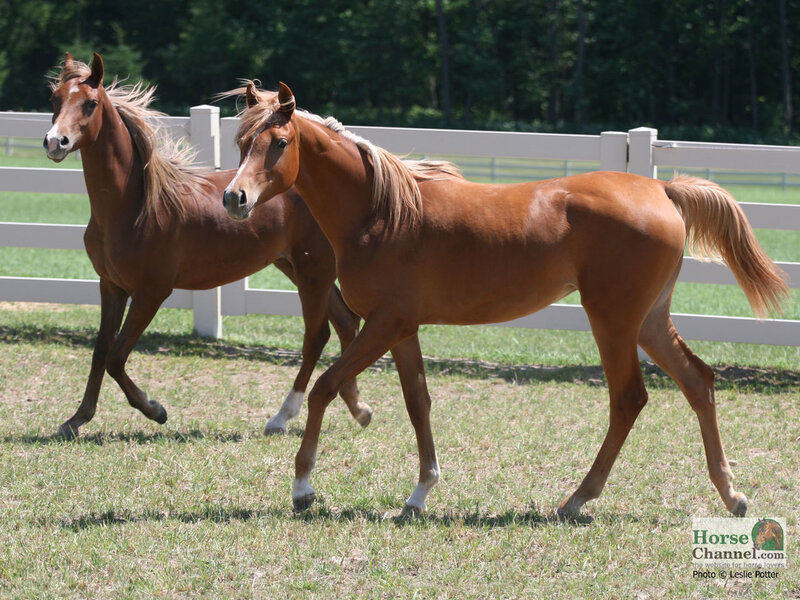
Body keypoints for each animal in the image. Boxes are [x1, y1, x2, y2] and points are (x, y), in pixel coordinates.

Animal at [43, 54, 373, 439]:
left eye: (90, 103)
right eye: (55, 99)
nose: (55, 142)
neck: (135, 206)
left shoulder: (151, 292)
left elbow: (116, 356)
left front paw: (155, 410)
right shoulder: (110, 286)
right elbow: (100, 351)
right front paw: (76, 419)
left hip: (313, 272)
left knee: (318, 335)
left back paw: (283, 417)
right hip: (296, 267)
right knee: (345, 324)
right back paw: (358, 408)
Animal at [220, 81, 789, 518]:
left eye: (280, 141)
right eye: (242, 141)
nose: (234, 198)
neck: (382, 212)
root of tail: (661, 191)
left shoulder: (383, 325)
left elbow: (324, 387)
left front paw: (303, 487)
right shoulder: (402, 329)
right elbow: (418, 403)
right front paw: (420, 493)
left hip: (613, 321)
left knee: (629, 399)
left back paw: (576, 500)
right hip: (648, 321)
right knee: (698, 381)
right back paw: (731, 495)